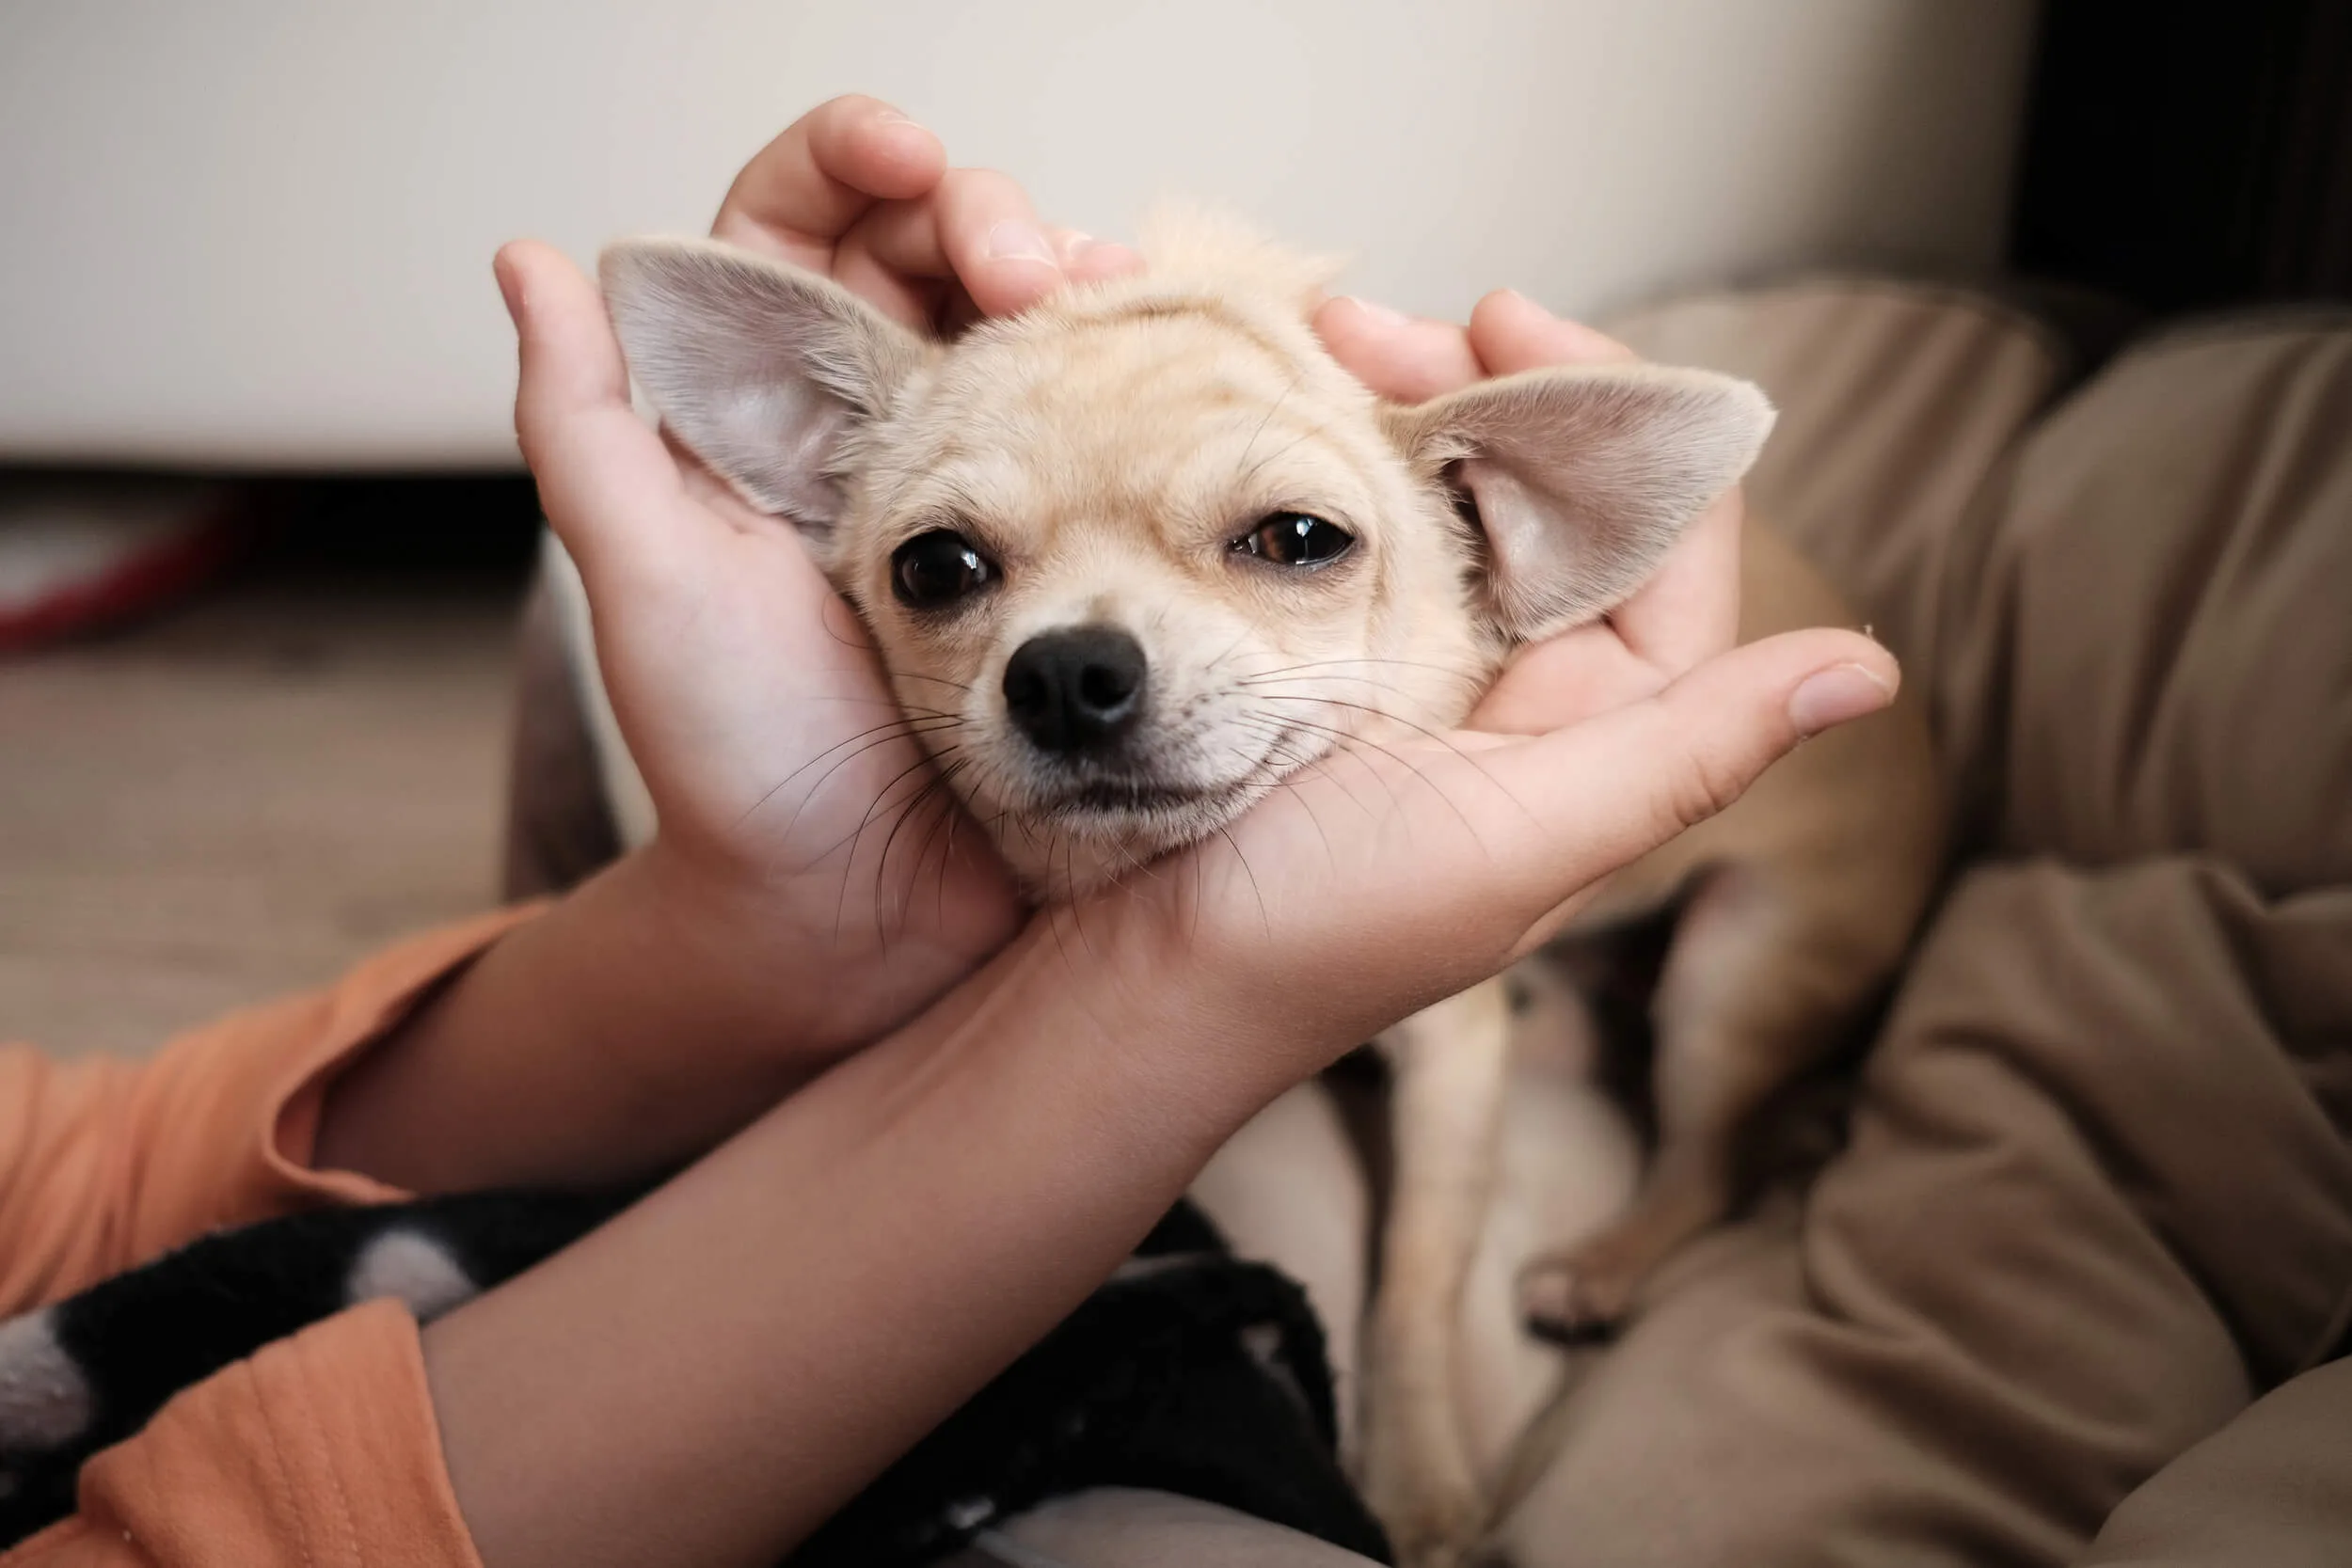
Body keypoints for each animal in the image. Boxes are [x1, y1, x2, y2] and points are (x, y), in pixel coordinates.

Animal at [588, 211, 1947, 1568]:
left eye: (1299, 539)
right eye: (934, 567)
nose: (1066, 669)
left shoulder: (1452, 1057)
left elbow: (1418, 1269)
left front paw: (1419, 1482)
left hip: (1738, 962)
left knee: (1712, 1159)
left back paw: (1604, 1264)